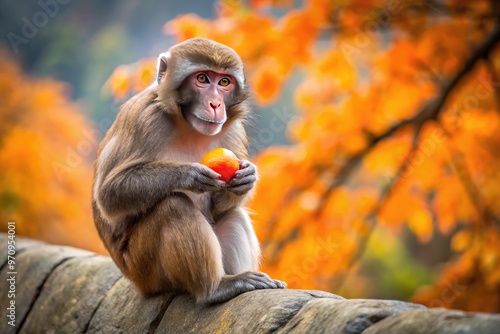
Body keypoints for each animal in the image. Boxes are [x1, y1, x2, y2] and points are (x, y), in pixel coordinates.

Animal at [91, 37, 286, 304]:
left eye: (224, 82)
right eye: (202, 78)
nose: (215, 104)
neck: (187, 126)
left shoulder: (233, 130)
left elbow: (220, 207)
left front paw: (247, 178)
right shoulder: (143, 118)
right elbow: (108, 195)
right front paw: (189, 175)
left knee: (233, 214)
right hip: (145, 270)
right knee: (173, 206)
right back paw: (214, 288)